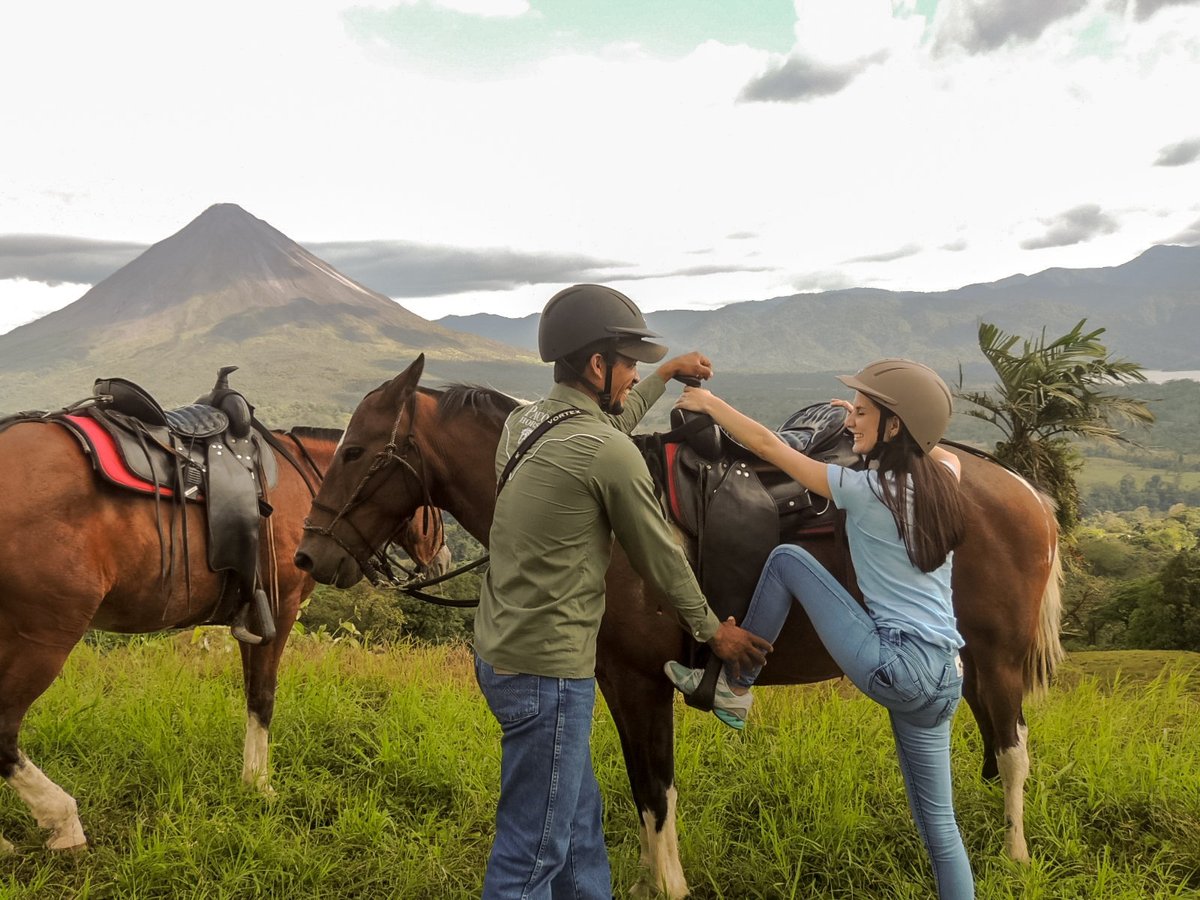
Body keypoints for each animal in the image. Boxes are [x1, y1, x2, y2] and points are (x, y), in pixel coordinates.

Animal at [295, 355, 1065, 897]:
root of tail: (1023, 491)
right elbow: (641, 787)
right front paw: (644, 880)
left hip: (998, 658)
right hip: (968, 660)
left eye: (356, 451)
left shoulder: (642, 683)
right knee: (992, 739)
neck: (590, 506)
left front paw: (667, 884)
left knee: (1015, 750)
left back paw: (1014, 855)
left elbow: (658, 788)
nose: (308, 555)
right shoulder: (613, 681)